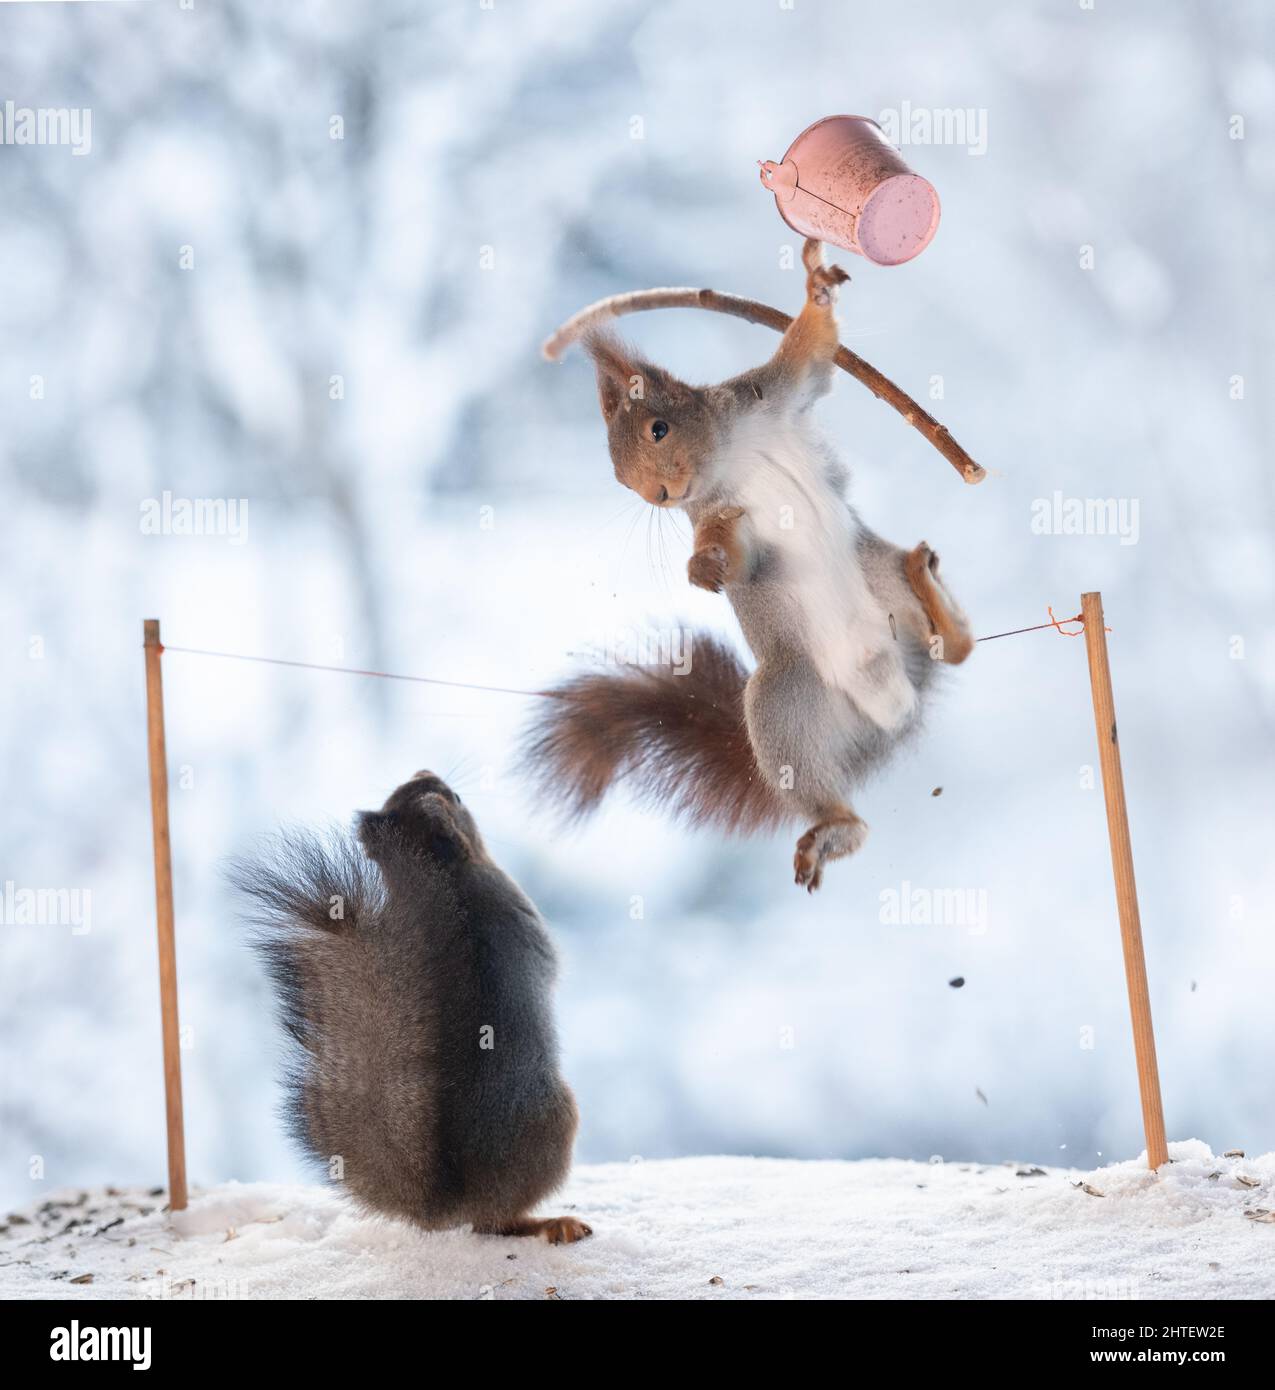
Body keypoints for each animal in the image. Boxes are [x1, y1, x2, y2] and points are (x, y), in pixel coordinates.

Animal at [231, 770, 591, 1244]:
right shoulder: (516, 908)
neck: (448, 877)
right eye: (456, 798)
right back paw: (551, 1222)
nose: (426, 773)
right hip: (555, 1120)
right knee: (498, 1224)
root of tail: (448, 1205)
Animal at [526, 239, 973, 891]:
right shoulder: (719, 513)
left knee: (954, 647)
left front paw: (816, 285)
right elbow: (735, 554)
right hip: (787, 704)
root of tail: (893, 717)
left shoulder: (772, 394)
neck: (729, 454)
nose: (659, 496)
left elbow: (810, 350)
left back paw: (932, 593)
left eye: (658, 428)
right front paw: (703, 567)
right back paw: (837, 828)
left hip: (879, 578)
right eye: (618, 477)